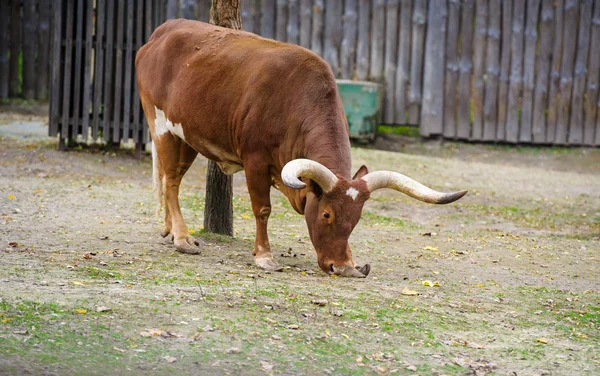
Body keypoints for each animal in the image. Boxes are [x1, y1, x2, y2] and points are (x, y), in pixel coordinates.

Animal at [137, 19, 468, 278]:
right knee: (171, 181)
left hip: (186, 135)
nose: (341, 268)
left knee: (170, 177)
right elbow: (263, 209)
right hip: (162, 125)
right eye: (326, 214)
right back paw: (182, 239)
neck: (296, 100)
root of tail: (160, 34)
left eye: (357, 218)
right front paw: (264, 257)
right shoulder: (255, 161)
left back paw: (170, 230)